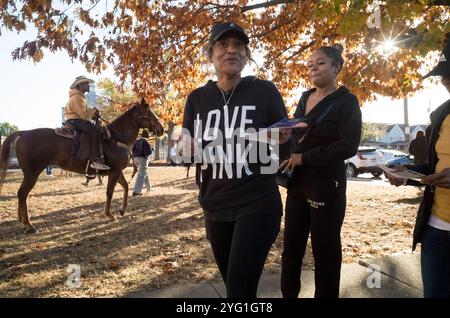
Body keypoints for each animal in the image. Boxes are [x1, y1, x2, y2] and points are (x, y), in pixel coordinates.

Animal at [0, 99, 164, 234]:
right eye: (148, 112)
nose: (161, 129)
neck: (116, 139)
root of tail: (24, 133)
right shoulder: (115, 172)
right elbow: (110, 192)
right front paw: (109, 215)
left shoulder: (117, 172)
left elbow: (125, 187)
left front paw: (122, 210)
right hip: (32, 173)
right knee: (22, 194)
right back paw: (29, 225)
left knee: (22, 195)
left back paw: (23, 222)